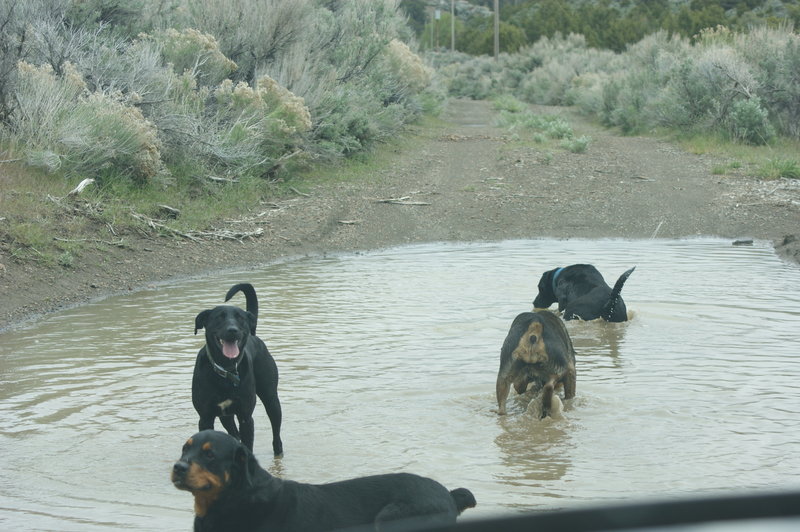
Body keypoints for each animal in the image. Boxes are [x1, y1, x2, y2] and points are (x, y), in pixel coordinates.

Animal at [192, 282, 282, 458]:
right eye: (219, 317)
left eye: (240, 318)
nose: (232, 330)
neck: (226, 370)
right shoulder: (205, 417)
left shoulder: (246, 417)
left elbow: (248, 445)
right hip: (225, 416)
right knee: (234, 434)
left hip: (271, 399)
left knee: (276, 433)